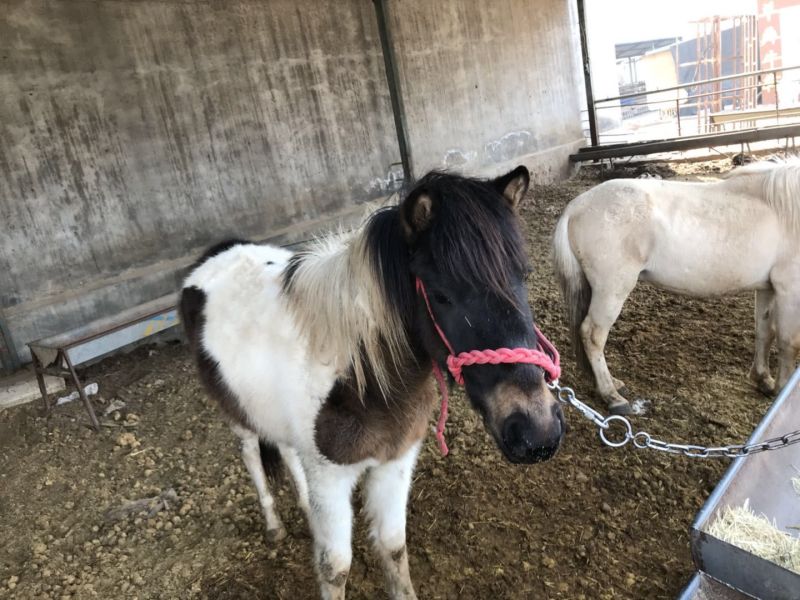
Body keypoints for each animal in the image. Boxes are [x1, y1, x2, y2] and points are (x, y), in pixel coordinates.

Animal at [179, 165, 564, 600]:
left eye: (523, 276)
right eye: (440, 295)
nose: (537, 430)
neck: (362, 381)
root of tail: (215, 256)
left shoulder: (395, 462)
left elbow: (393, 546)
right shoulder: (330, 476)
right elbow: (336, 568)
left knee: (287, 451)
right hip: (237, 416)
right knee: (251, 454)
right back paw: (274, 524)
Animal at [553, 159, 800, 414]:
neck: (785, 212)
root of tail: (575, 207)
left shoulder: (768, 288)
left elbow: (765, 332)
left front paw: (763, 379)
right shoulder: (789, 289)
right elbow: (789, 342)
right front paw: (782, 389)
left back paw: (613, 383)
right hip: (611, 290)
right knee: (593, 335)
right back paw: (612, 396)